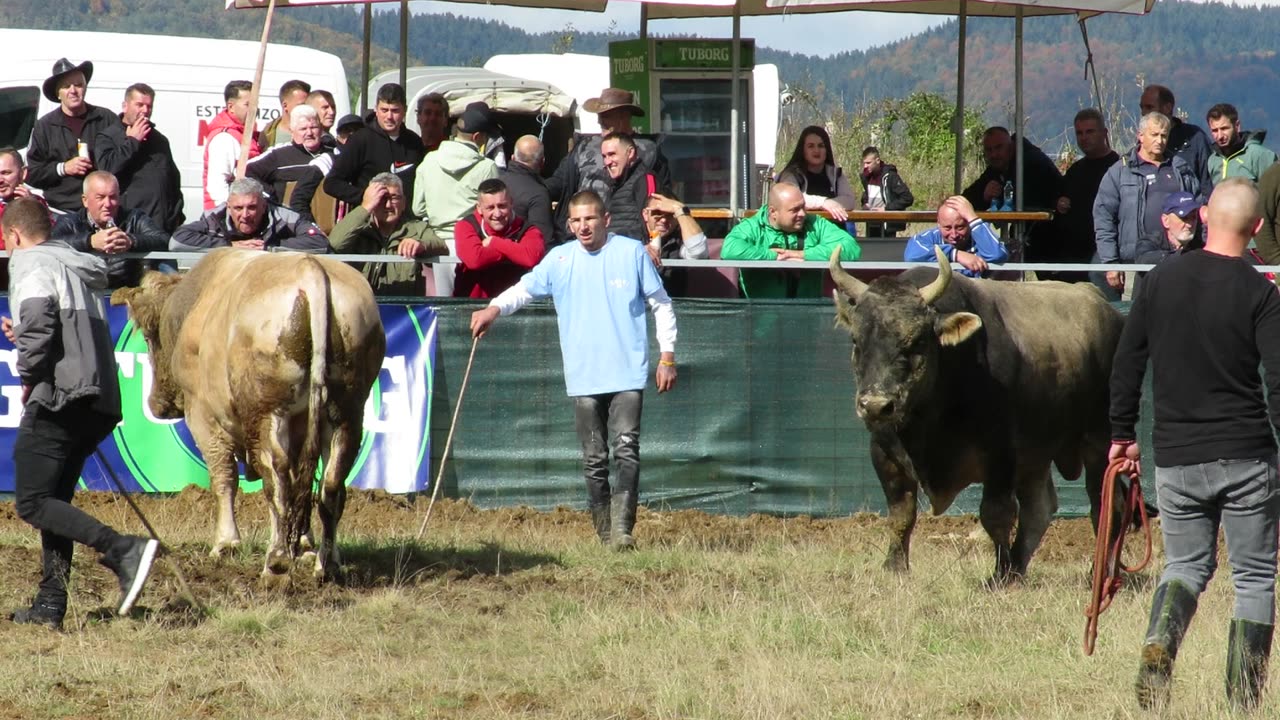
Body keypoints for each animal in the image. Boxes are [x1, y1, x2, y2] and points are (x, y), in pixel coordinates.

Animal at [113, 249, 384, 579]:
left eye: (150, 338)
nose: (157, 405)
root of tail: (310, 268)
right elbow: (300, 482)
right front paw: (304, 544)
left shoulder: (202, 416)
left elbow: (224, 477)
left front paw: (226, 544)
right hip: (345, 413)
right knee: (329, 484)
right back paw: (326, 563)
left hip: (266, 414)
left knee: (276, 480)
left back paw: (277, 560)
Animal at [829, 248, 1121, 584]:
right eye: (856, 340)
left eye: (916, 341)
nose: (876, 405)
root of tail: (1108, 311)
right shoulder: (884, 454)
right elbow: (901, 514)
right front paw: (894, 567)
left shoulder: (1002, 455)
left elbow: (996, 515)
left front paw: (1000, 573)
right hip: (1036, 456)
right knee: (1039, 509)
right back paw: (1019, 567)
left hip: (1100, 443)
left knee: (1105, 506)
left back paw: (1099, 571)